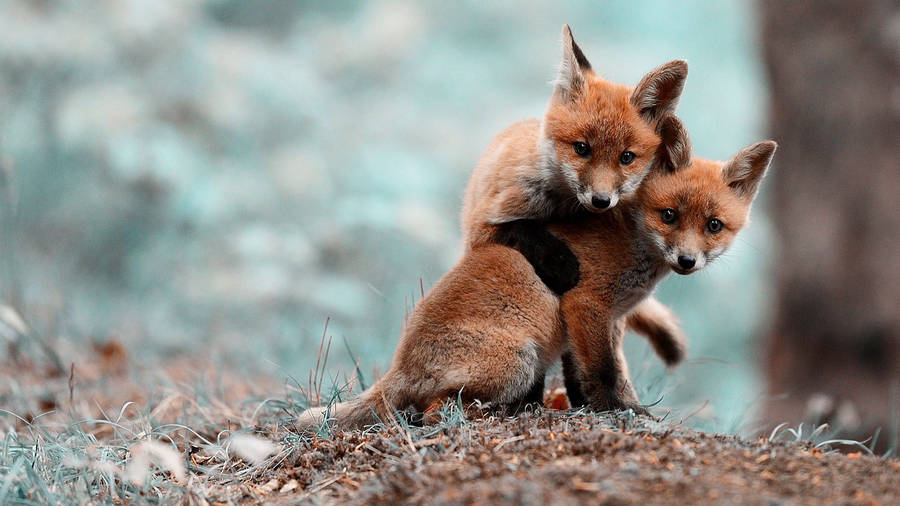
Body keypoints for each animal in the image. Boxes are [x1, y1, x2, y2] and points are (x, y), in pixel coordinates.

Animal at [297, 118, 777, 428]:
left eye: (713, 225)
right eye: (670, 215)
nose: (687, 261)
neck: (631, 240)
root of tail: (401, 362)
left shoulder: (607, 320)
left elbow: (594, 375)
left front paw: (608, 407)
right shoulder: (586, 304)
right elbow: (604, 373)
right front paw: (620, 412)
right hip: (519, 361)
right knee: (431, 411)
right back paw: (495, 413)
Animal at [462, 24, 690, 367]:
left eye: (626, 157)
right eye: (582, 148)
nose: (601, 200)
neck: (560, 207)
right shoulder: (484, 228)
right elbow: (522, 229)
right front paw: (561, 262)